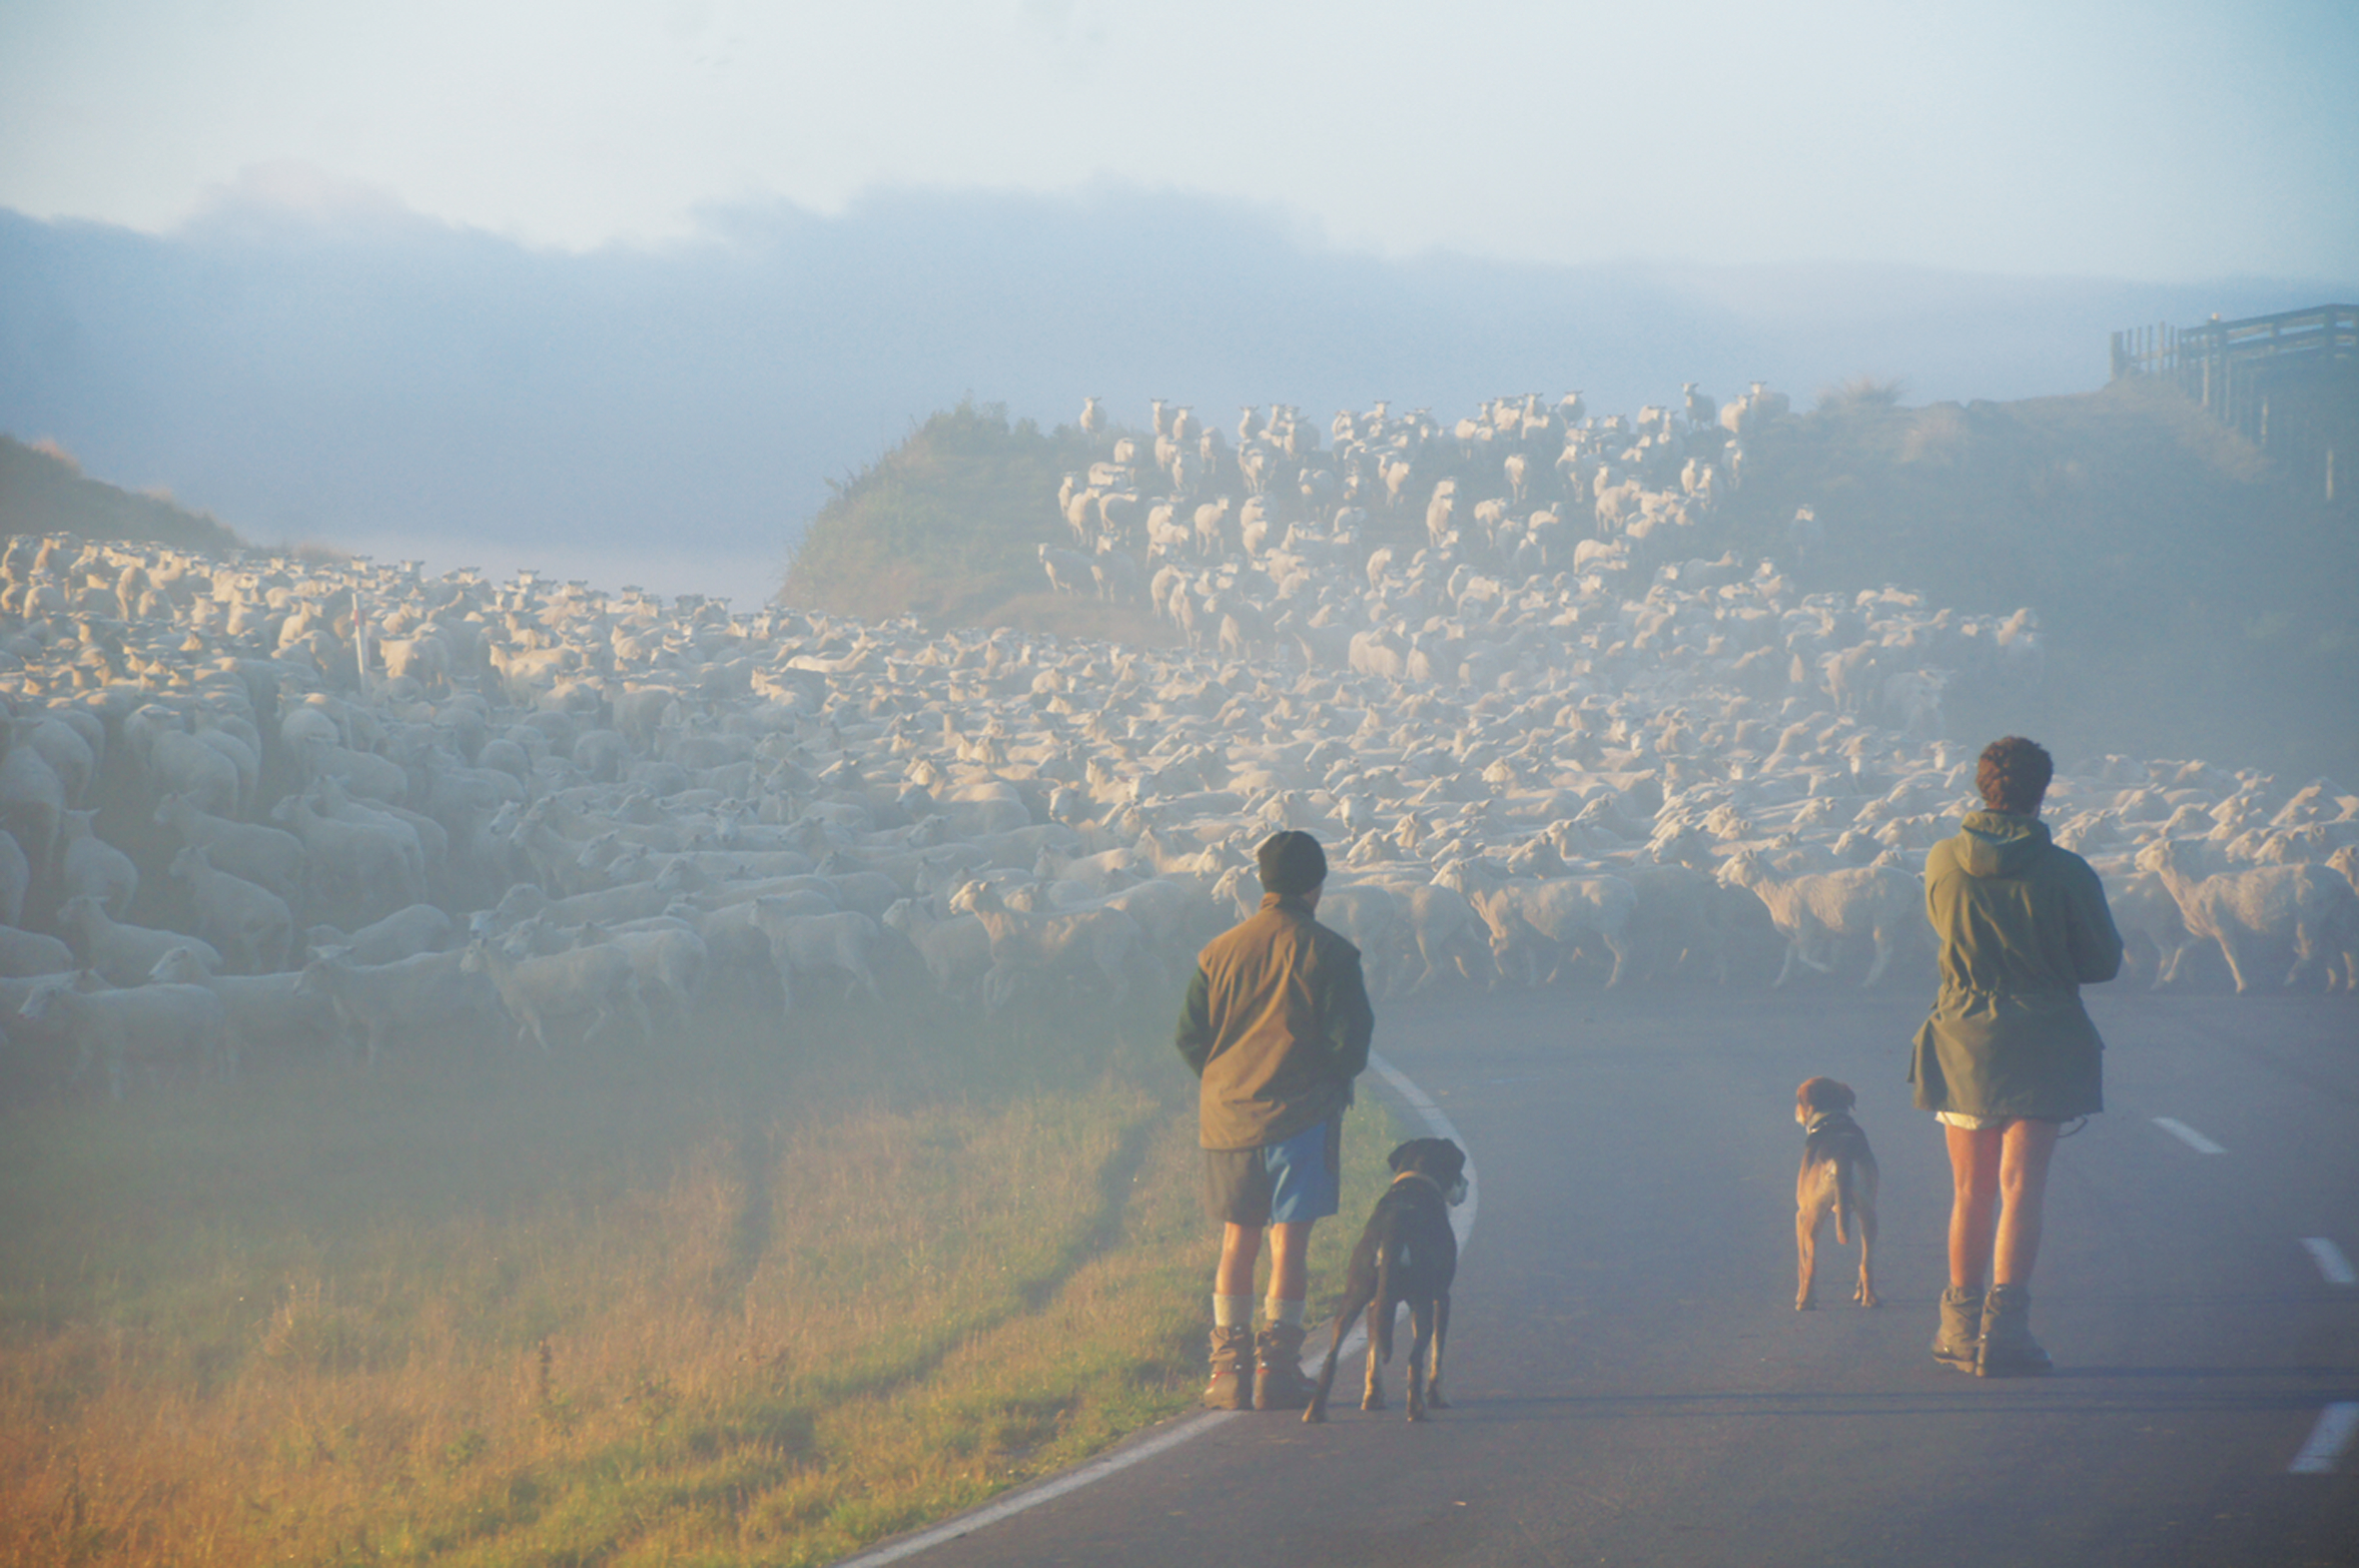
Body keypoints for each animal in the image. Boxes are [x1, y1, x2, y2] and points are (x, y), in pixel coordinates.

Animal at [1793, 1075, 1887, 1310]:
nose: (1796, 1113)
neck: (1831, 1118)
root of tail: (1842, 1152)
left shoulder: (1800, 1215)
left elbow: (1801, 1263)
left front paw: (1800, 1294)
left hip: (1812, 1217)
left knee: (1811, 1263)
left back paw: (1805, 1301)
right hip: (1868, 1215)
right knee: (1866, 1262)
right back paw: (1869, 1298)